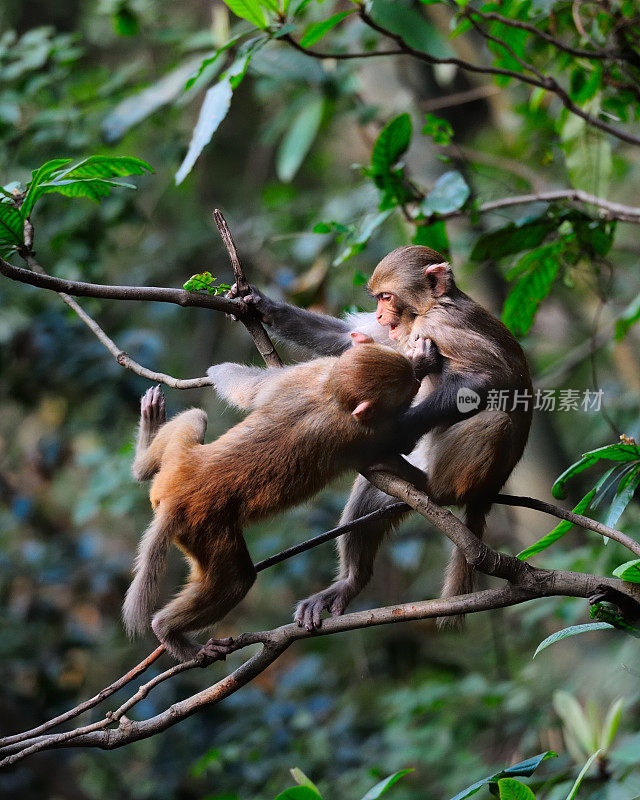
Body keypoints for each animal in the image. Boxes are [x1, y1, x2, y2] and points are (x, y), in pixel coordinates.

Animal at [122, 340, 422, 660]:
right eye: (407, 388)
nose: (418, 379)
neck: (330, 395)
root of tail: (174, 498)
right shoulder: (363, 432)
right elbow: (400, 447)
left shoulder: (312, 372)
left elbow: (249, 385)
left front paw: (219, 372)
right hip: (204, 527)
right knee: (237, 580)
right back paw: (168, 631)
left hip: (179, 463)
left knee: (195, 418)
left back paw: (142, 457)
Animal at [232, 245, 532, 632]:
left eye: (386, 297)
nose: (378, 312)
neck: (430, 306)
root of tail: (487, 493)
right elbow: (350, 340)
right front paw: (262, 304)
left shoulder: (440, 325)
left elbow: (483, 380)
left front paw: (396, 432)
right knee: (371, 496)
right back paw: (351, 581)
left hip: (461, 475)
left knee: (495, 420)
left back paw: (431, 484)